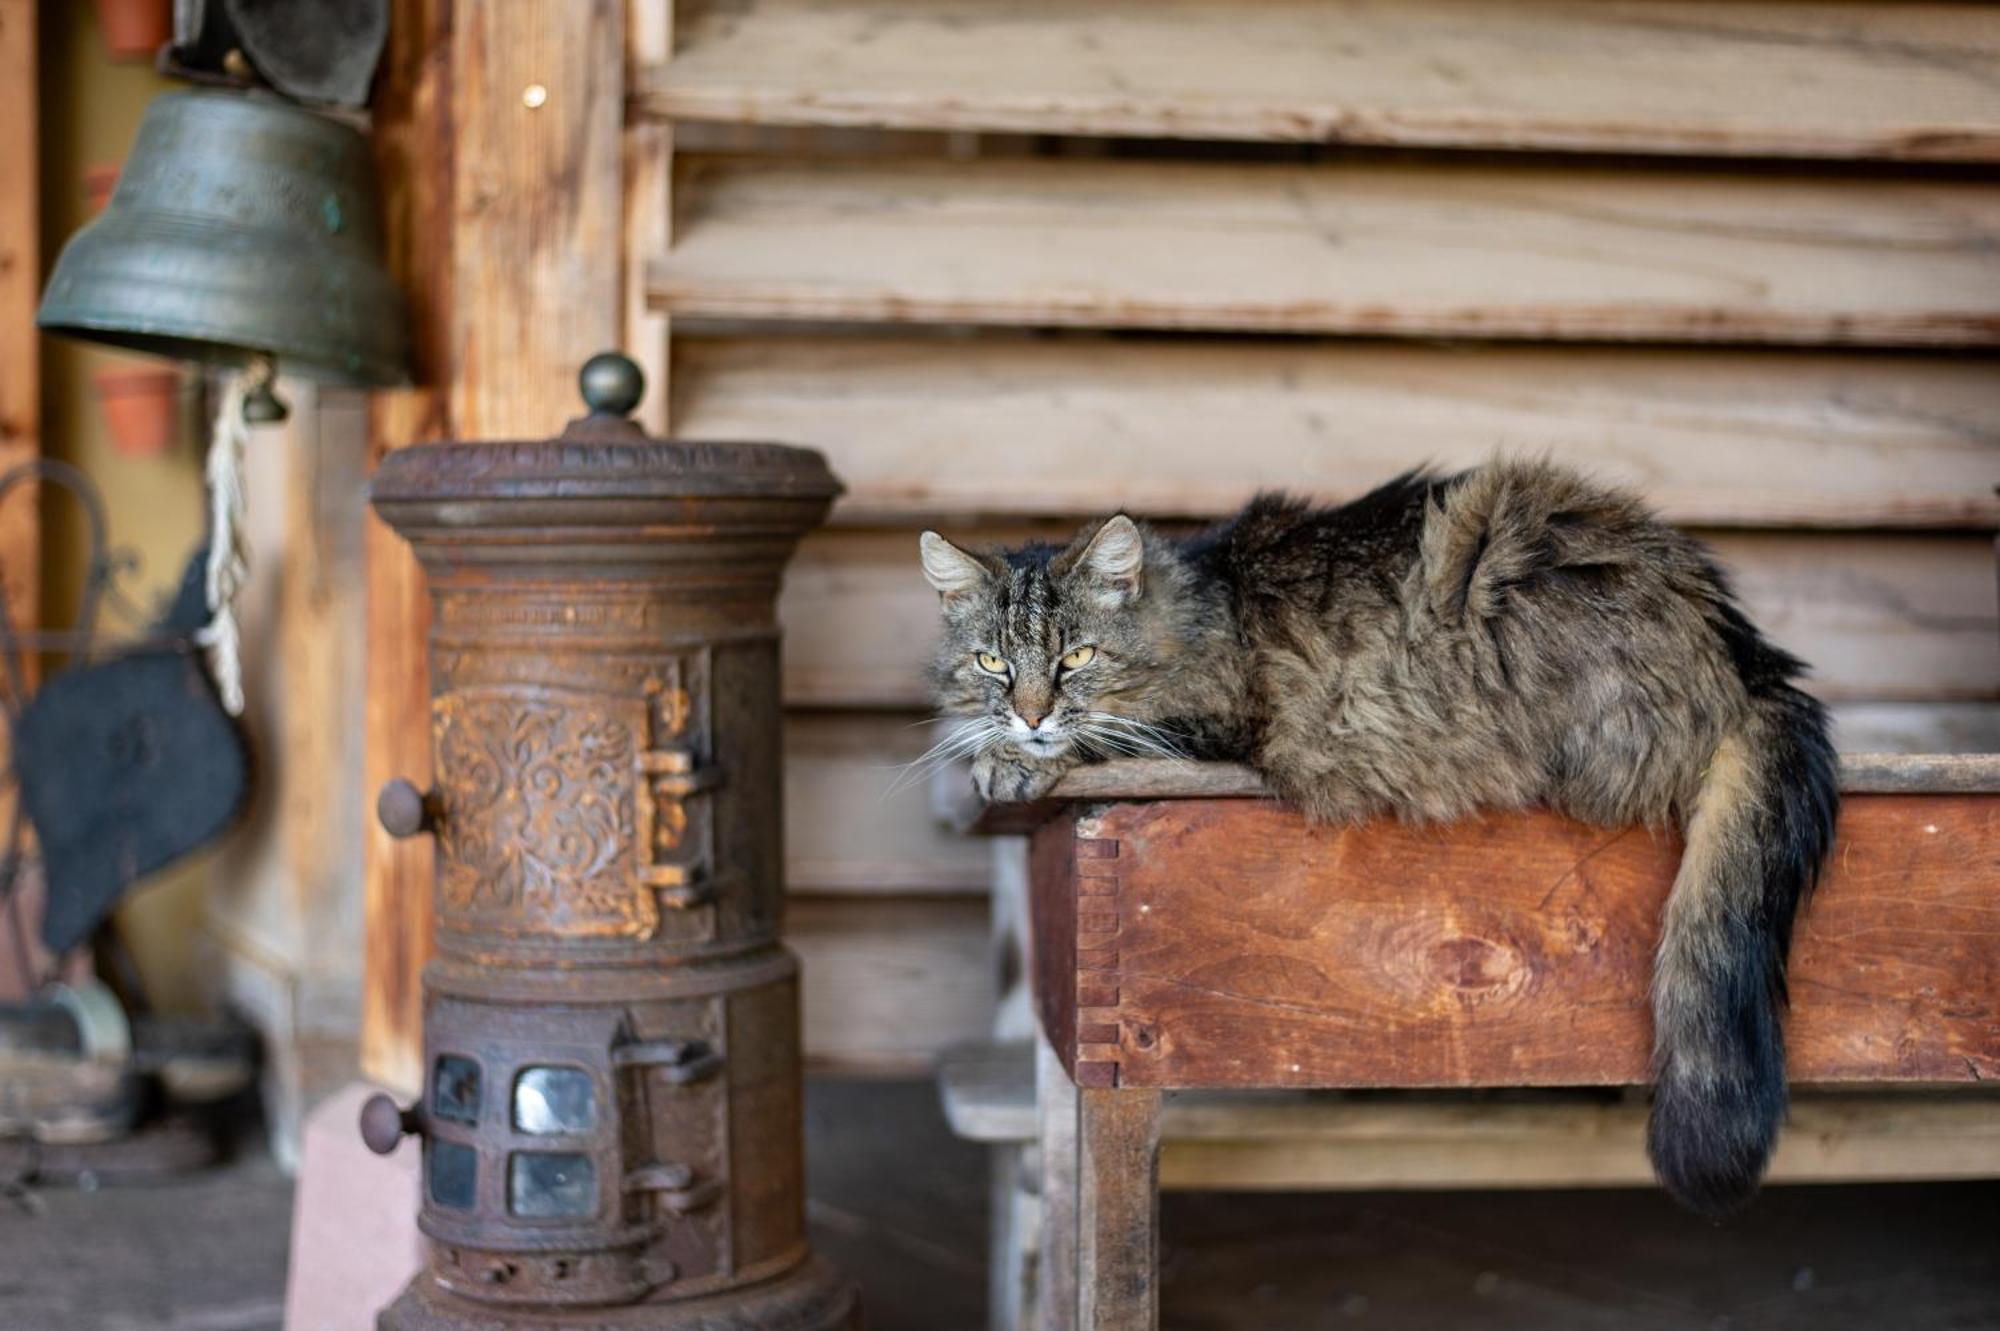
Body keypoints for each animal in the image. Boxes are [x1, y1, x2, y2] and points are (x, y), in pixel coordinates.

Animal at [916, 455, 1832, 1215]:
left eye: (1076, 658)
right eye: (994, 663)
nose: (1031, 713)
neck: (1193, 607)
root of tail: (1745, 653)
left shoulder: (1211, 724)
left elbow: (1104, 735)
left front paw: (1010, 760)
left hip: (1490, 554)